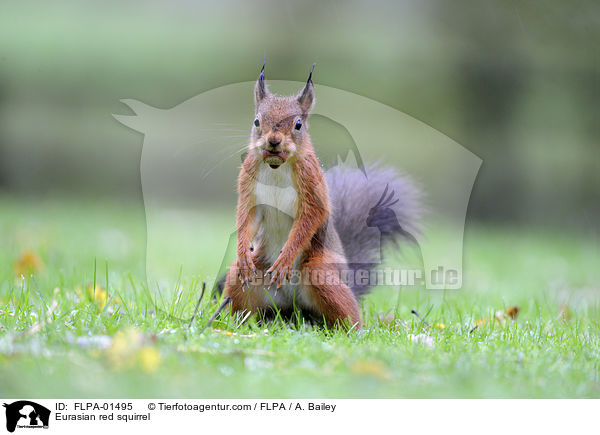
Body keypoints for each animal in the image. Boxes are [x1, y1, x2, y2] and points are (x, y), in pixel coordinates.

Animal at [223, 64, 420, 328]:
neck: (276, 166)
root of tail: (293, 307)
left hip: (321, 272)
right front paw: (243, 251)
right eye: (256, 121)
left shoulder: (312, 186)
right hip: (244, 279)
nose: (273, 141)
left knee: (350, 314)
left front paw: (286, 258)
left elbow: (311, 217)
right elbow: (248, 219)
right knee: (242, 295)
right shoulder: (249, 186)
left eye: (298, 125)